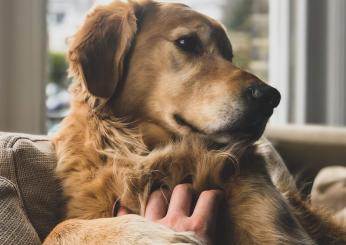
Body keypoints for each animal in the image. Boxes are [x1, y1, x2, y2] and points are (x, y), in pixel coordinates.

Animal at [44, 0, 346, 244]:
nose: (271, 97)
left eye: (229, 55)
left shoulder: (277, 227)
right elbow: (59, 229)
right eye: (187, 42)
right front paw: (152, 234)